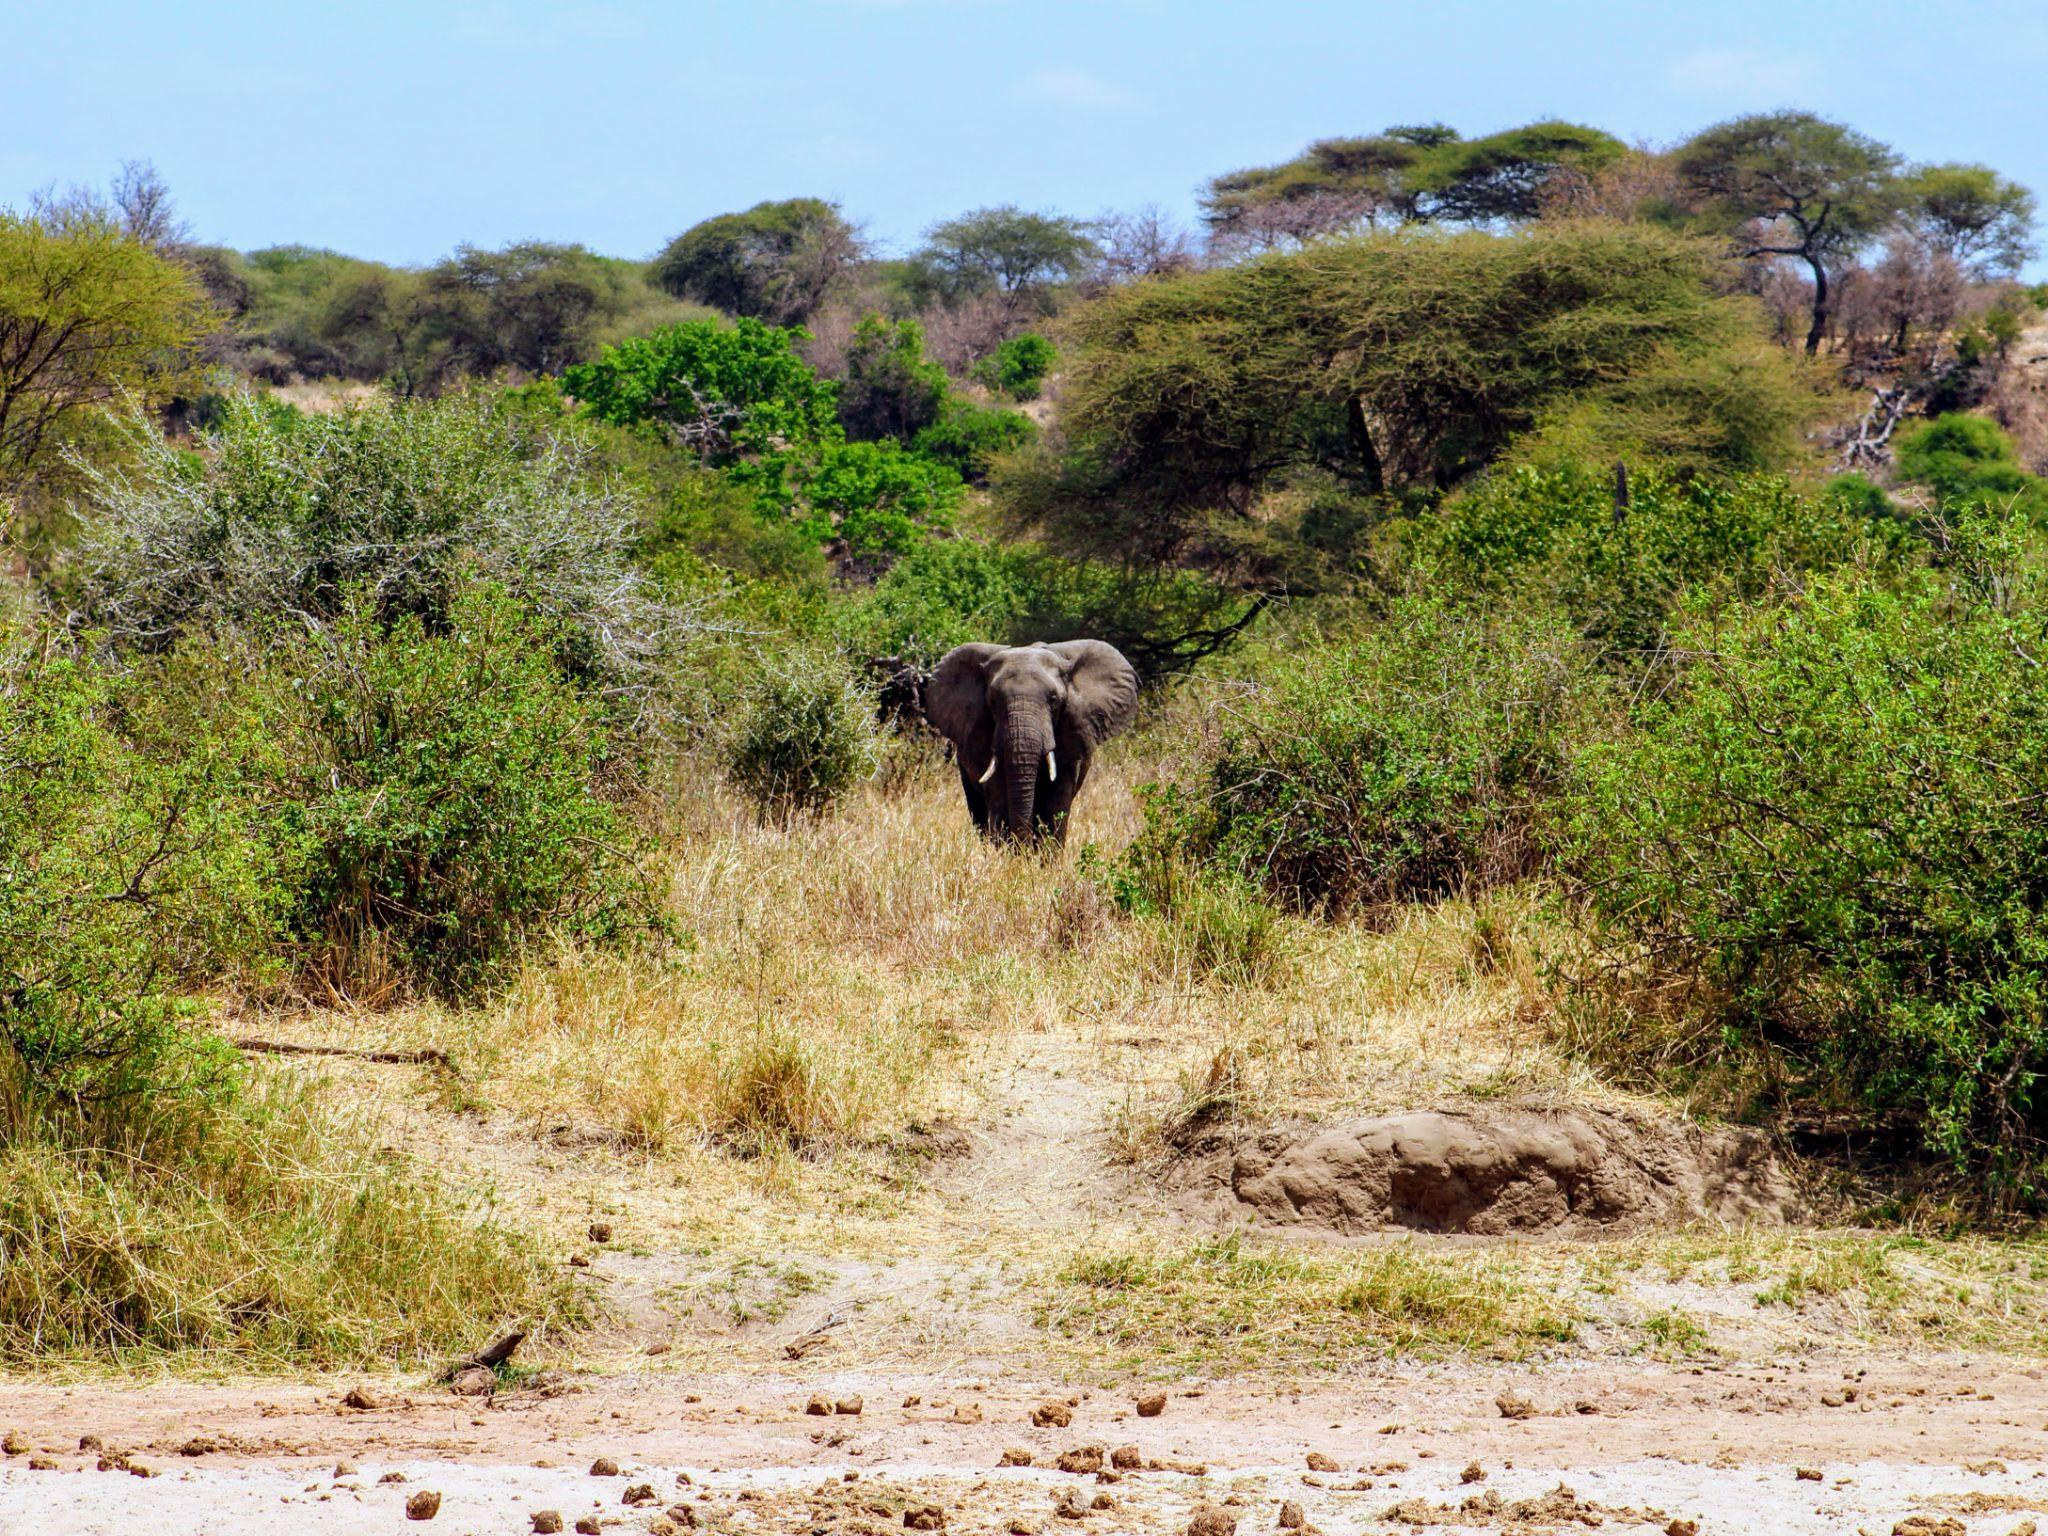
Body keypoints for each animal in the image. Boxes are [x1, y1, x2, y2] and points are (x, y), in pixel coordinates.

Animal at [925, 643, 1146, 847]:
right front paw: (1013, 857)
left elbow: (1056, 803)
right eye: (993, 702)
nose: (1024, 845)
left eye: (1054, 700)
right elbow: (999, 799)